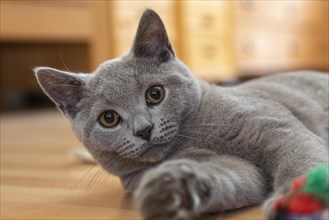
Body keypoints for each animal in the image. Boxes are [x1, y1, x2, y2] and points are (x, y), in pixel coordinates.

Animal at [34, 9, 326, 220]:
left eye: (155, 94)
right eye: (109, 119)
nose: (144, 129)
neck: (190, 141)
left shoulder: (274, 128)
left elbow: (299, 158)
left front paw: (298, 199)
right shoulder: (229, 166)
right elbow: (235, 179)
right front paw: (172, 190)